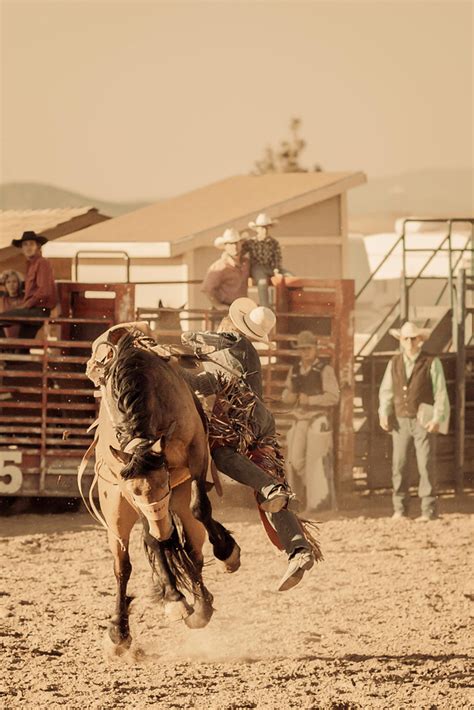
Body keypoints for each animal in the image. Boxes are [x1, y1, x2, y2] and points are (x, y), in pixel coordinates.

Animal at [87, 330, 239, 660]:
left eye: (166, 484)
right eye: (135, 492)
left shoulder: (196, 456)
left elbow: (200, 508)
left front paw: (226, 550)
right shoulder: (128, 494)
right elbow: (154, 545)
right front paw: (173, 598)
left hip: (179, 504)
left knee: (192, 551)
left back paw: (200, 606)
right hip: (117, 514)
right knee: (125, 564)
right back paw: (125, 629)